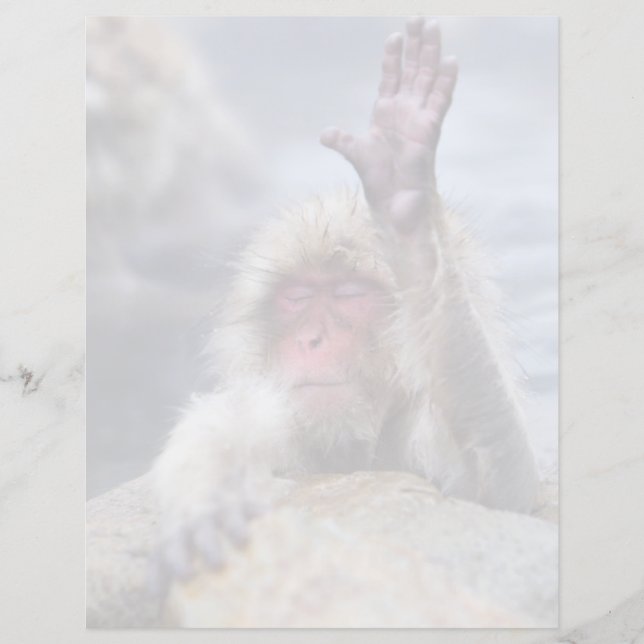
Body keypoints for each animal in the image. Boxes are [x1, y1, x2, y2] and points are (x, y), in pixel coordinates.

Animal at [152, 17, 540, 579]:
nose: (313, 339)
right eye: (296, 298)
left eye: (350, 293)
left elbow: (505, 488)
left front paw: (413, 232)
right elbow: (224, 425)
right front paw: (210, 498)